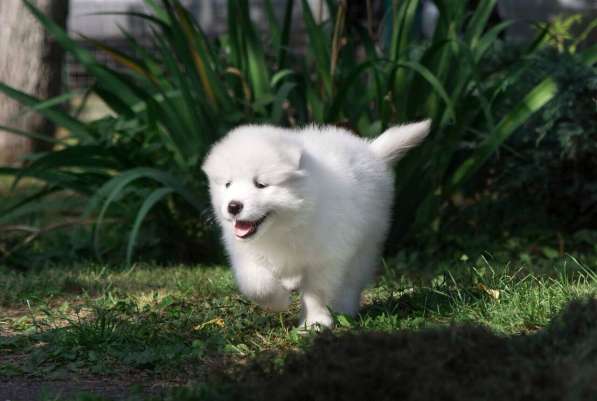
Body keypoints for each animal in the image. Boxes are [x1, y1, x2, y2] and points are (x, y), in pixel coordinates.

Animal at [200, 122, 428, 328]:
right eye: (228, 184)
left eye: (261, 184)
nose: (233, 206)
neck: (285, 226)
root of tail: (370, 151)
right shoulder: (246, 254)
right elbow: (256, 283)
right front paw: (278, 302)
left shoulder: (326, 257)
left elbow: (316, 293)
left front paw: (314, 323)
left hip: (366, 243)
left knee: (352, 280)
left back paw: (345, 308)